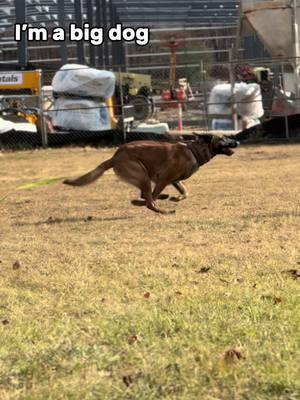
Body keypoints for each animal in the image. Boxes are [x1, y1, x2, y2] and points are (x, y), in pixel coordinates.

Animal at [63, 134, 239, 214]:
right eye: (224, 138)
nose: (237, 141)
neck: (194, 151)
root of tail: (114, 157)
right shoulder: (164, 179)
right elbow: (152, 197)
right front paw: (140, 203)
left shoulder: (174, 180)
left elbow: (185, 192)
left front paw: (176, 197)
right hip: (143, 176)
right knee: (149, 200)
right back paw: (162, 210)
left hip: (144, 178)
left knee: (146, 195)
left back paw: (161, 199)